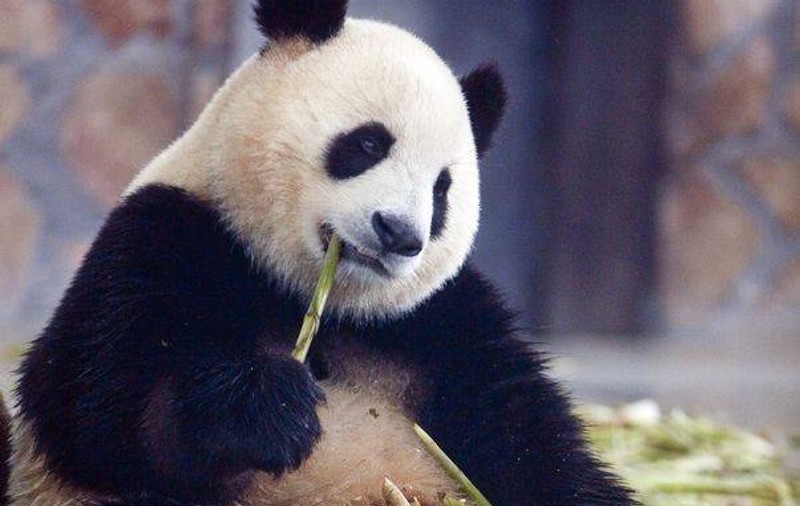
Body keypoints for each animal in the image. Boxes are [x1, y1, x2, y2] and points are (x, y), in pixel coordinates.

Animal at [6, 1, 637, 505]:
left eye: (442, 190)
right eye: (368, 143)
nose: (398, 233)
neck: (317, 299)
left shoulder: (447, 321)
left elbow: (530, 442)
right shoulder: (160, 237)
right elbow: (101, 409)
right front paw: (271, 408)